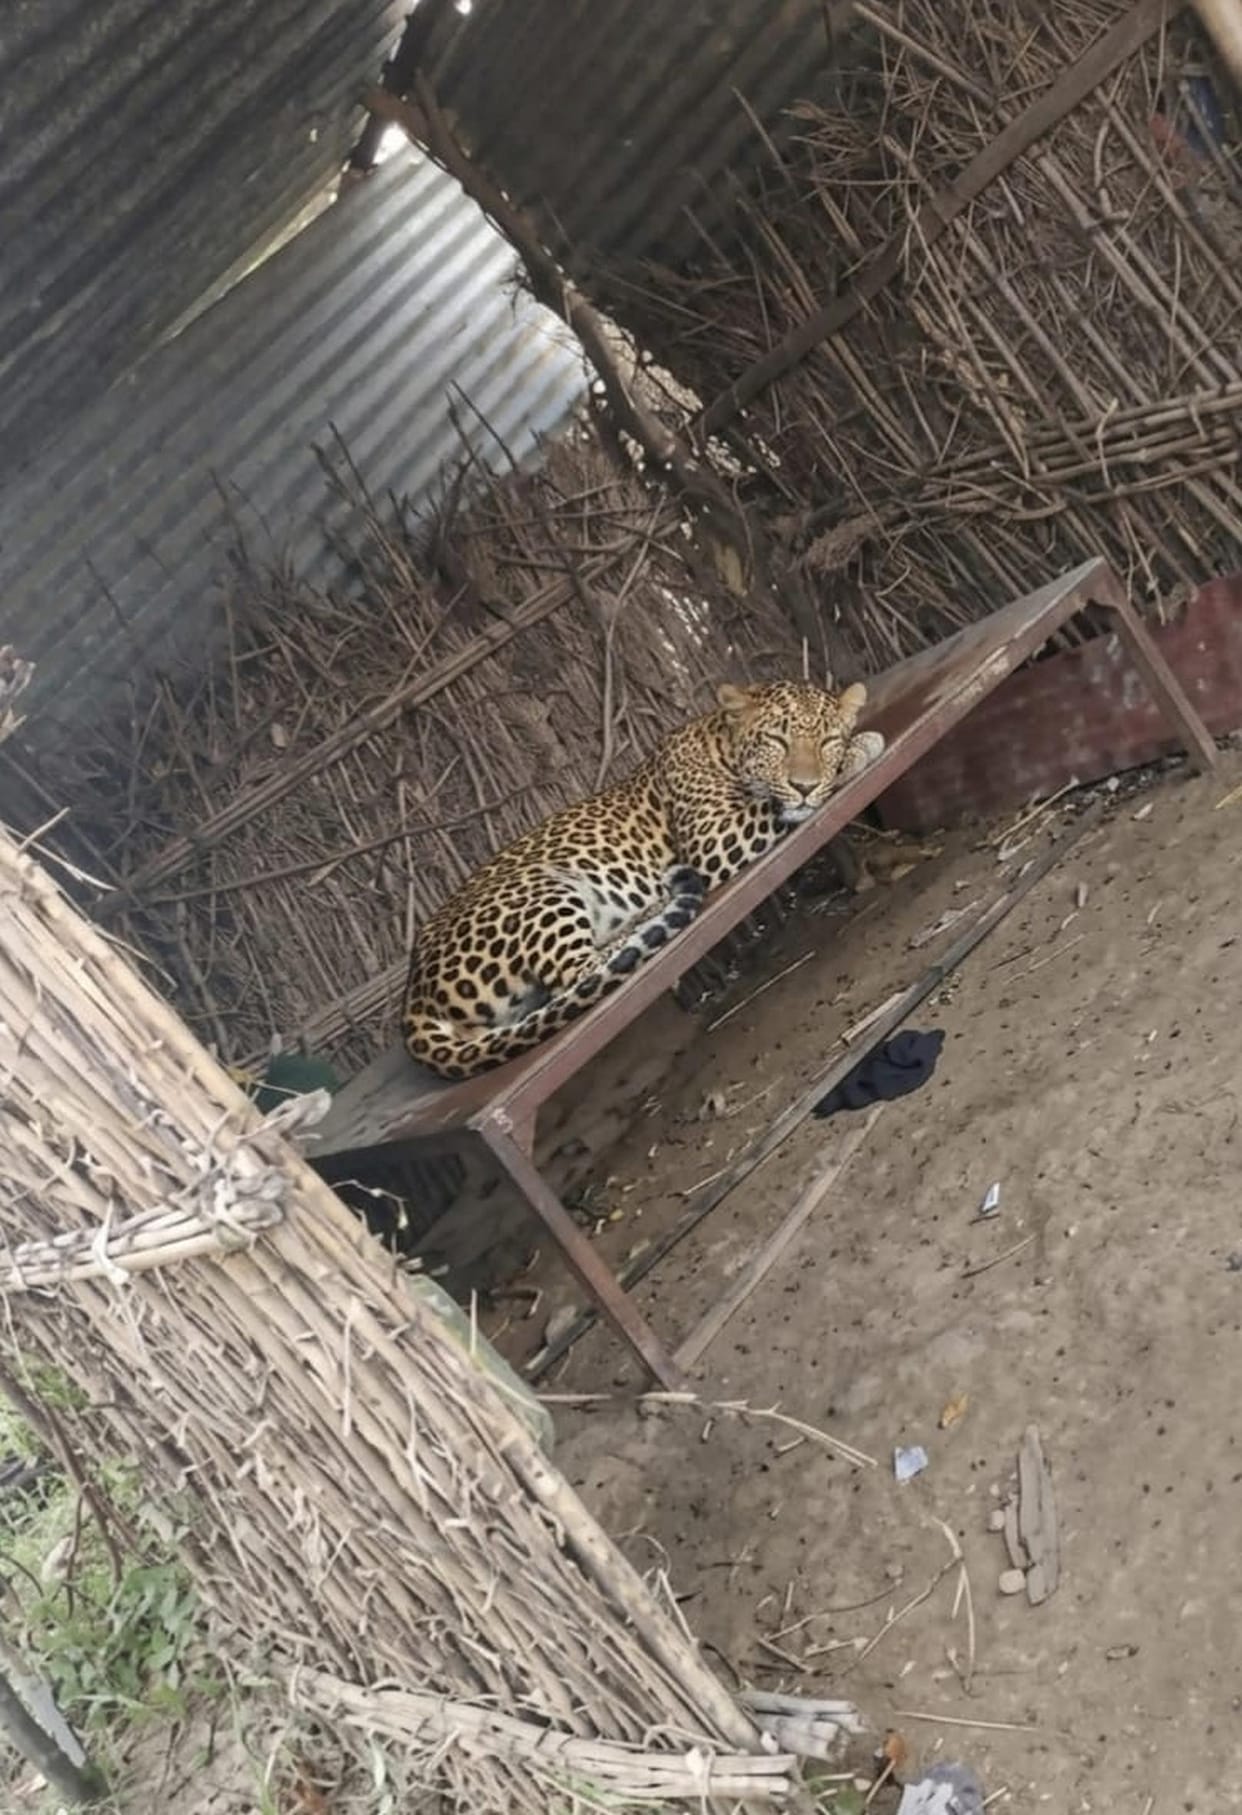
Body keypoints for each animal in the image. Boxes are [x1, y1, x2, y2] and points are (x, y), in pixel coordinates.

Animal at [402, 679, 886, 1080]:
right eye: (776, 740)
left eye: (827, 740)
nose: (804, 785)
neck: (720, 743)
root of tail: (412, 1000)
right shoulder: (713, 840)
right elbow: (773, 806)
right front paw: (861, 749)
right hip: (537, 886)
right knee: (582, 972)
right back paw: (653, 916)